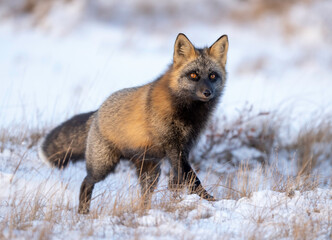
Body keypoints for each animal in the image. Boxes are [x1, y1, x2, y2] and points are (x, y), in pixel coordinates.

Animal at [39, 32, 228, 214]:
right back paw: (83, 212)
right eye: (194, 75)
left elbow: (178, 181)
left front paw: (178, 200)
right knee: (86, 182)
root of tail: (97, 112)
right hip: (103, 165)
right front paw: (209, 199)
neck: (186, 112)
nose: (207, 92)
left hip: (151, 172)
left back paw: (145, 211)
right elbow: (192, 178)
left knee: (145, 194)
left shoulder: (184, 148)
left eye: (212, 76)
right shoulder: (174, 147)